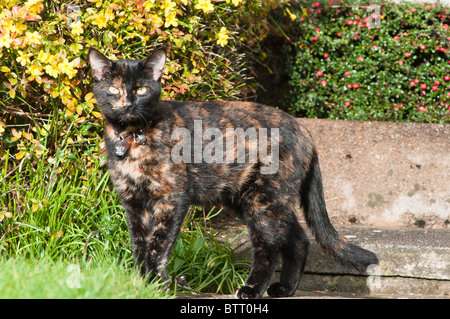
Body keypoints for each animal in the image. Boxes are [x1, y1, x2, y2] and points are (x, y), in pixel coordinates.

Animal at [87, 47, 376, 300]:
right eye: (113, 89)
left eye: (141, 89)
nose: (127, 103)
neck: (131, 137)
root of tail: (304, 130)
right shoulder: (134, 203)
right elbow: (139, 247)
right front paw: (140, 286)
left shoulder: (172, 199)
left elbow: (157, 247)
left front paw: (155, 286)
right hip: (257, 198)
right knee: (299, 239)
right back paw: (285, 289)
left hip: (263, 201)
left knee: (269, 248)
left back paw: (252, 289)